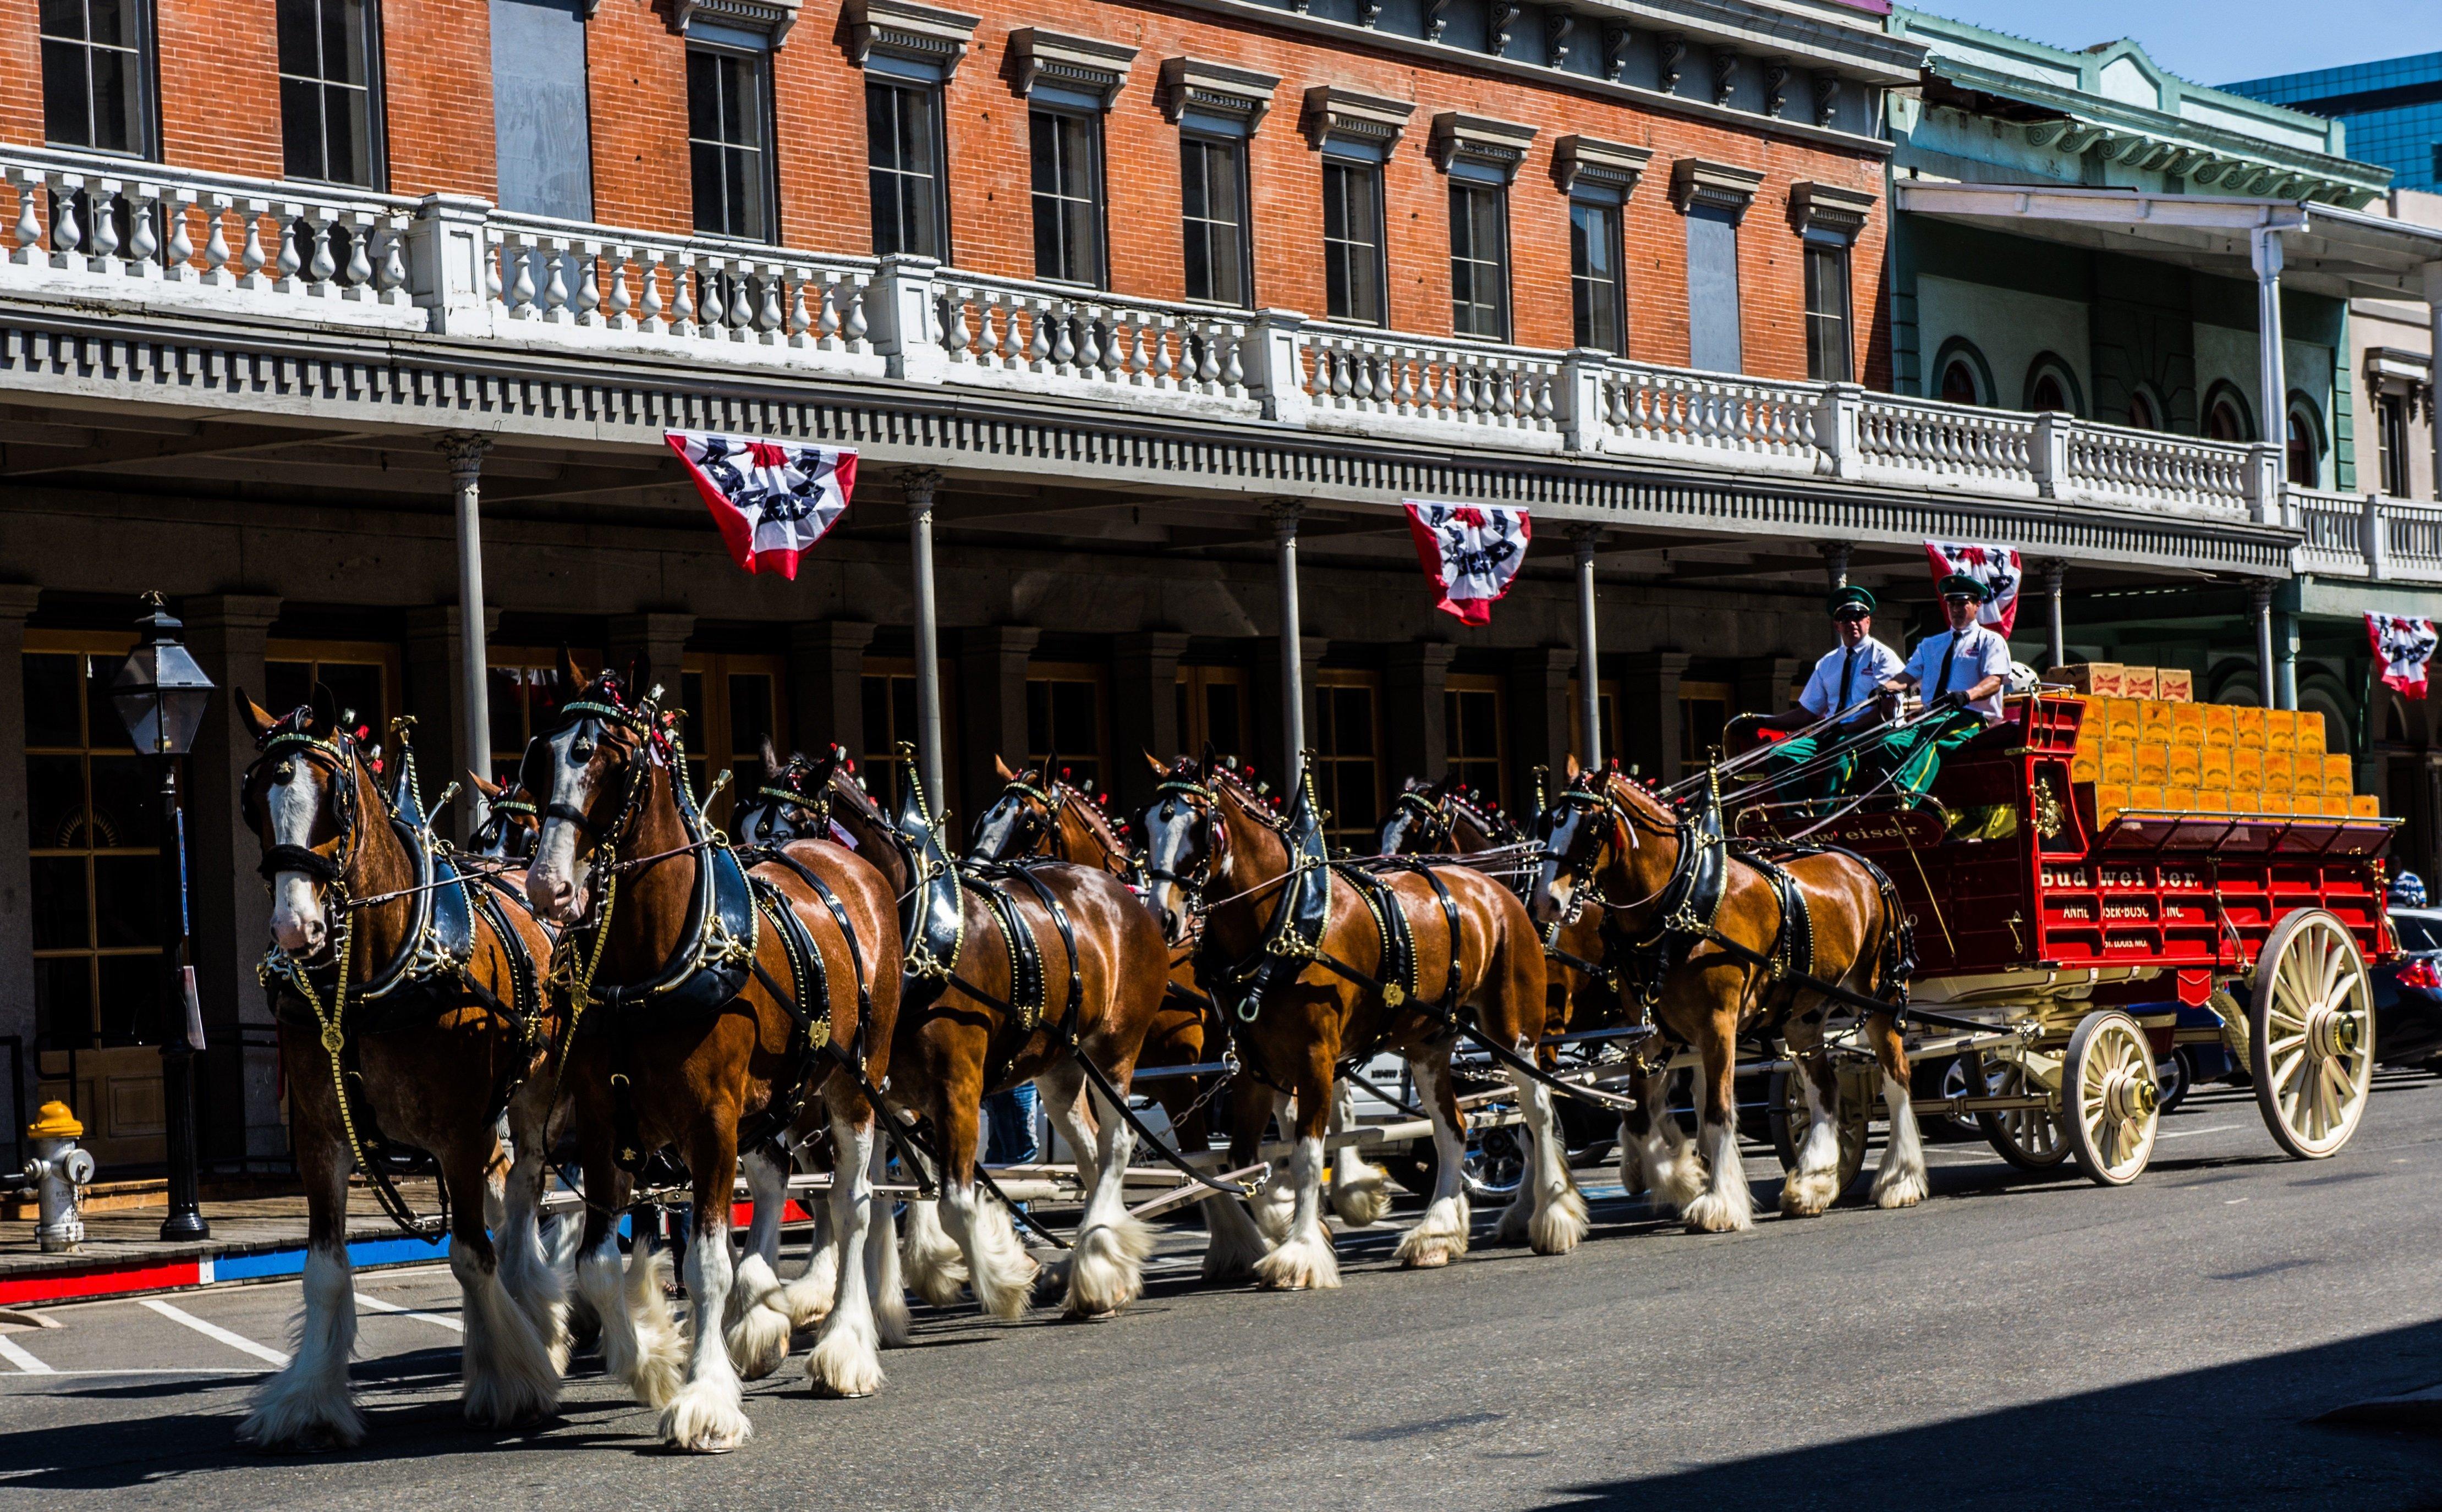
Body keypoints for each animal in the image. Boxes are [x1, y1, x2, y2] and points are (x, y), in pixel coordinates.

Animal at [235, 699, 564, 1455]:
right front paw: (309, 1402)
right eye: (253, 800)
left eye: (336, 800)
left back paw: (538, 1317)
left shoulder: (459, 1131)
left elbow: (472, 1256)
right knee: (507, 1194)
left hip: (536, 1092)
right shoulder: (319, 1138)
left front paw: (512, 1383)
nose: (294, 930)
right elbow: (325, 1271)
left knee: (523, 1196)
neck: (366, 983)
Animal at [520, 664, 903, 1455]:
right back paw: (762, 1317)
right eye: (540, 755)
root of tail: (848, 864)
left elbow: (704, 1264)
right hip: (773, 1100)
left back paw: (846, 1343)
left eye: (605, 759)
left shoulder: (710, 1123)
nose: (548, 885)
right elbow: (596, 1264)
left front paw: (703, 1399)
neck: (650, 958)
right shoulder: (604, 1124)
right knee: (778, 1178)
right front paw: (654, 1363)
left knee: (850, 1203)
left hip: (852, 1083)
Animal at [1128, 757, 1572, 1289]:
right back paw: (1436, 1235)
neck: (1285, 922)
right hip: (1429, 1043)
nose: (1161, 917)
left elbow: (1304, 1155)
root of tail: (1498, 889)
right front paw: (1281, 1224)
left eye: (1198, 825)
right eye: (1144, 824)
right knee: (1454, 1128)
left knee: (1537, 1112)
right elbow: (1244, 1158)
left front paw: (1300, 1251)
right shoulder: (1255, 1066)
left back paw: (1550, 1217)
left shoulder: (1315, 1057)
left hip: (1514, 1031)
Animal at [1523, 762, 1924, 1236]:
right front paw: (1683, 1179)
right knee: (1824, 1089)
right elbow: (1638, 1117)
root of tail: (1863, 865)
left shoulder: (1717, 1024)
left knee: (1896, 1076)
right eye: (1550, 823)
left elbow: (1716, 1111)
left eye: (1589, 826)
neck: (1681, 903)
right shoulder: (1652, 1035)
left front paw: (1717, 1201)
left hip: (1877, 993)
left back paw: (1901, 1179)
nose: (1545, 903)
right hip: (1802, 1015)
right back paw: (1812, 1184)